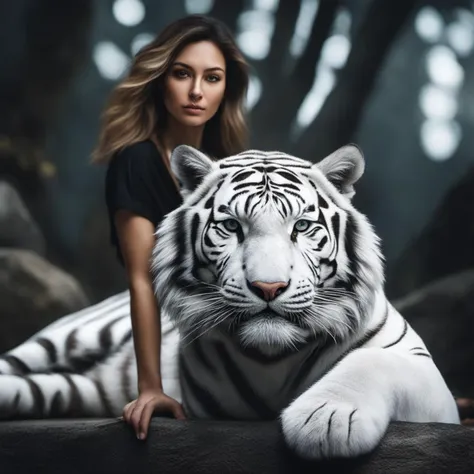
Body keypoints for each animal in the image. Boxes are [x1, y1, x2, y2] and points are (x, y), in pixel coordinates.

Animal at [0, 145, 460, 460]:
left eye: (302, 227)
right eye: (232, 226)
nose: (269, 287)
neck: (273, 359)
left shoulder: (434, 387)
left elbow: (373, 361)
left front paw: (327, 419)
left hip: (72, 390)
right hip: (67, 337)